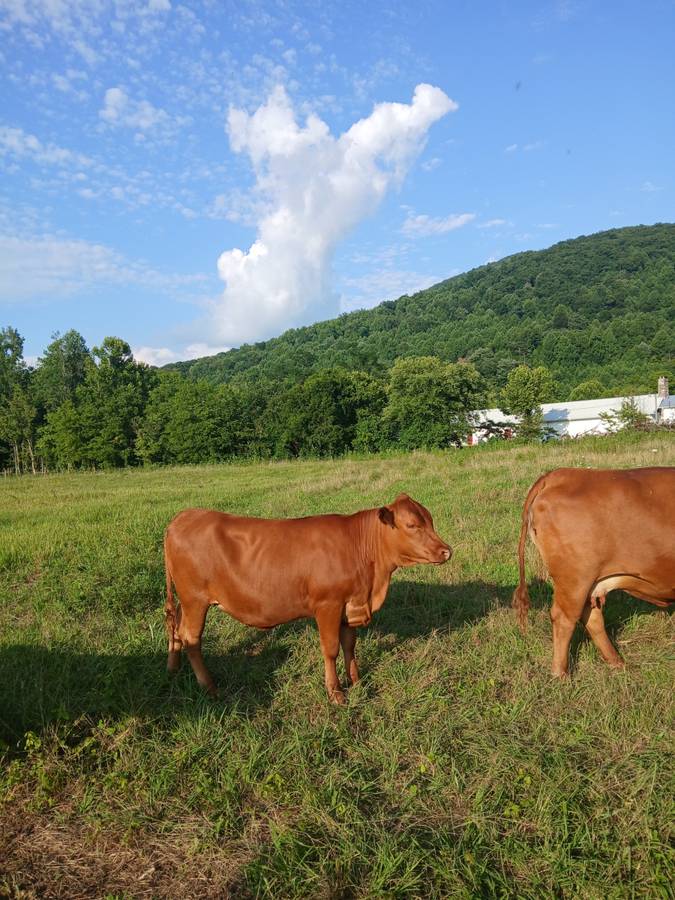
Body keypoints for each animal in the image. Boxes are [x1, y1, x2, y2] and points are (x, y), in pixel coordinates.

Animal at [164, 494, 452, 704]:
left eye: (431, 521)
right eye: (412, 525)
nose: (446, 551)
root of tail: (184, 516)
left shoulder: (349, 605)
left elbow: (349, 645)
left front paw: (357, 681)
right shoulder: (328, 605)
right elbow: (331, 649)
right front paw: (336, 693)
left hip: (184, 601)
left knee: (175, 625)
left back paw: (173, 668)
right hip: (195, 600)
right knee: (191, 638)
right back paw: (210, 687)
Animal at [513, 466, 675, 677]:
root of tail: (559, 474)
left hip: (589, 583)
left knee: (591, 617)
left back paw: (617, 663)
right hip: (575, 579)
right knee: (564, 618)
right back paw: (561, 674)